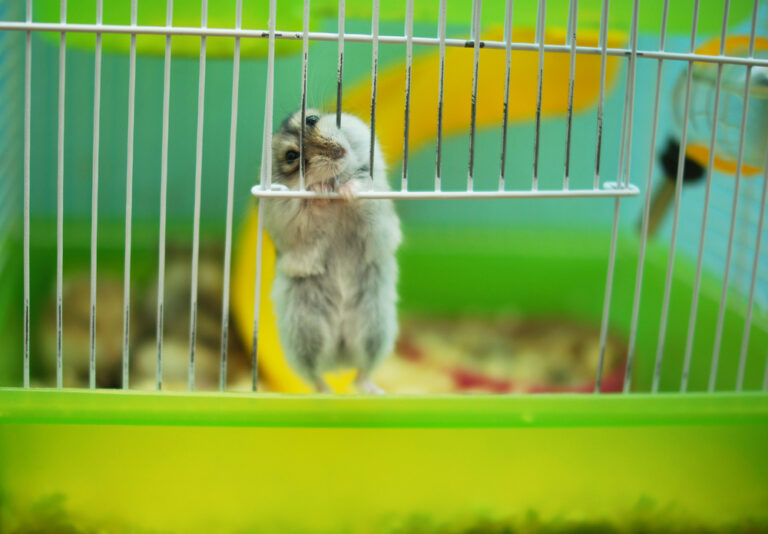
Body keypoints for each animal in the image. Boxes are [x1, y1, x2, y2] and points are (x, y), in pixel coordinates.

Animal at [262, 110, 402, 394]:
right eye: (291, 156)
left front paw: (347, 191)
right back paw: (326, 392)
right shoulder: (283, 216)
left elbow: (362, 190)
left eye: (312, 119)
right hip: (305, 334)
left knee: (362, 370)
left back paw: (372, 390)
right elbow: (305, 207)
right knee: (315, 375)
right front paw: (320, 191)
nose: (339, 151)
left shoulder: (379, 211)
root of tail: (340, 357)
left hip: (375, 328)